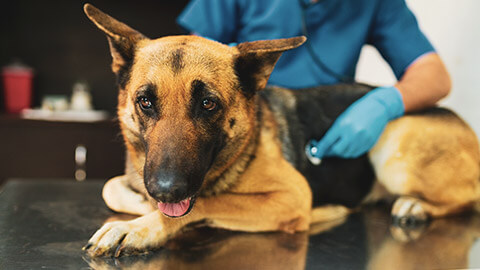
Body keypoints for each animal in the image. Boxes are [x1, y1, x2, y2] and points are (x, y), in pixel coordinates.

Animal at [82, 4, 480, 258]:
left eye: (208, 104)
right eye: (145, 102)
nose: (166, 190)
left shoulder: (291, 195)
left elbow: (208, 203)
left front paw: (139, 227)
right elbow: (110, 187)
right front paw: (141, 207)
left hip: (393, 146)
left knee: (468, 197)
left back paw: (415, 205)